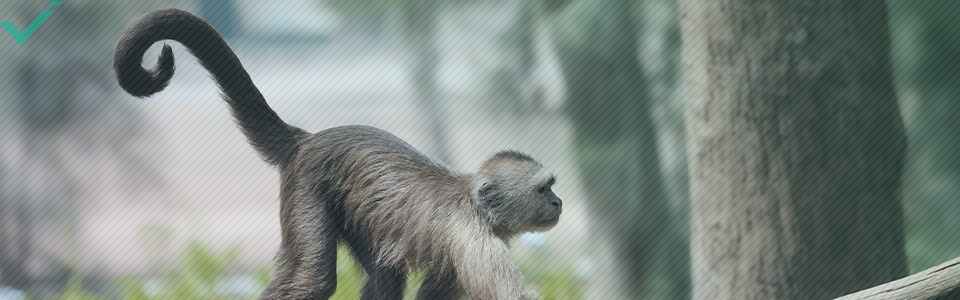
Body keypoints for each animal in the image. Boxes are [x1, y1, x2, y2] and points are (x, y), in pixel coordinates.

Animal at [112, 8, 564, 298]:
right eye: (543, 189)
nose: (559, 202)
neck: (474, 205)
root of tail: (307, 139)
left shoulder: (465, 252)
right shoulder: (475, 243)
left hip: (356, 208)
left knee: (385, 276)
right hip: (306, 187)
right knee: (313, 279)